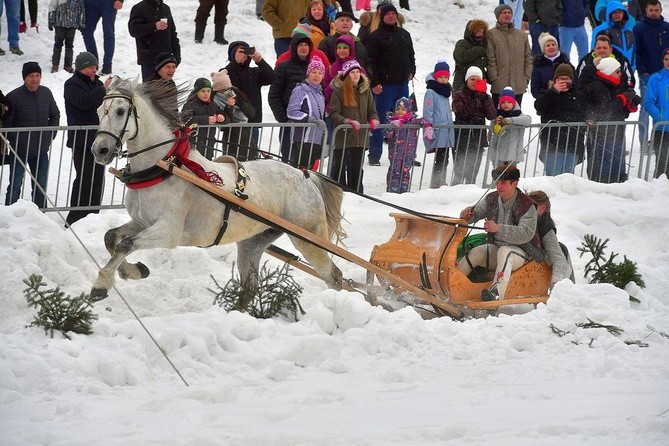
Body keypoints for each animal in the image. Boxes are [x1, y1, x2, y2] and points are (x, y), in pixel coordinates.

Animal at [90, 78, 344, 304]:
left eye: (120, 111)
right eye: (99, 111)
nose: (99, 150)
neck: (164, 166)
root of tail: (306, 176)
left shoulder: (169, 231)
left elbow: (126, 244)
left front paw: (102, 283)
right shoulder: (141, 222)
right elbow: (111, 238)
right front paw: (133, 271)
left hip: (308, 238)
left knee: (334, 276)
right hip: (253, 242)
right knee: (250, 287)